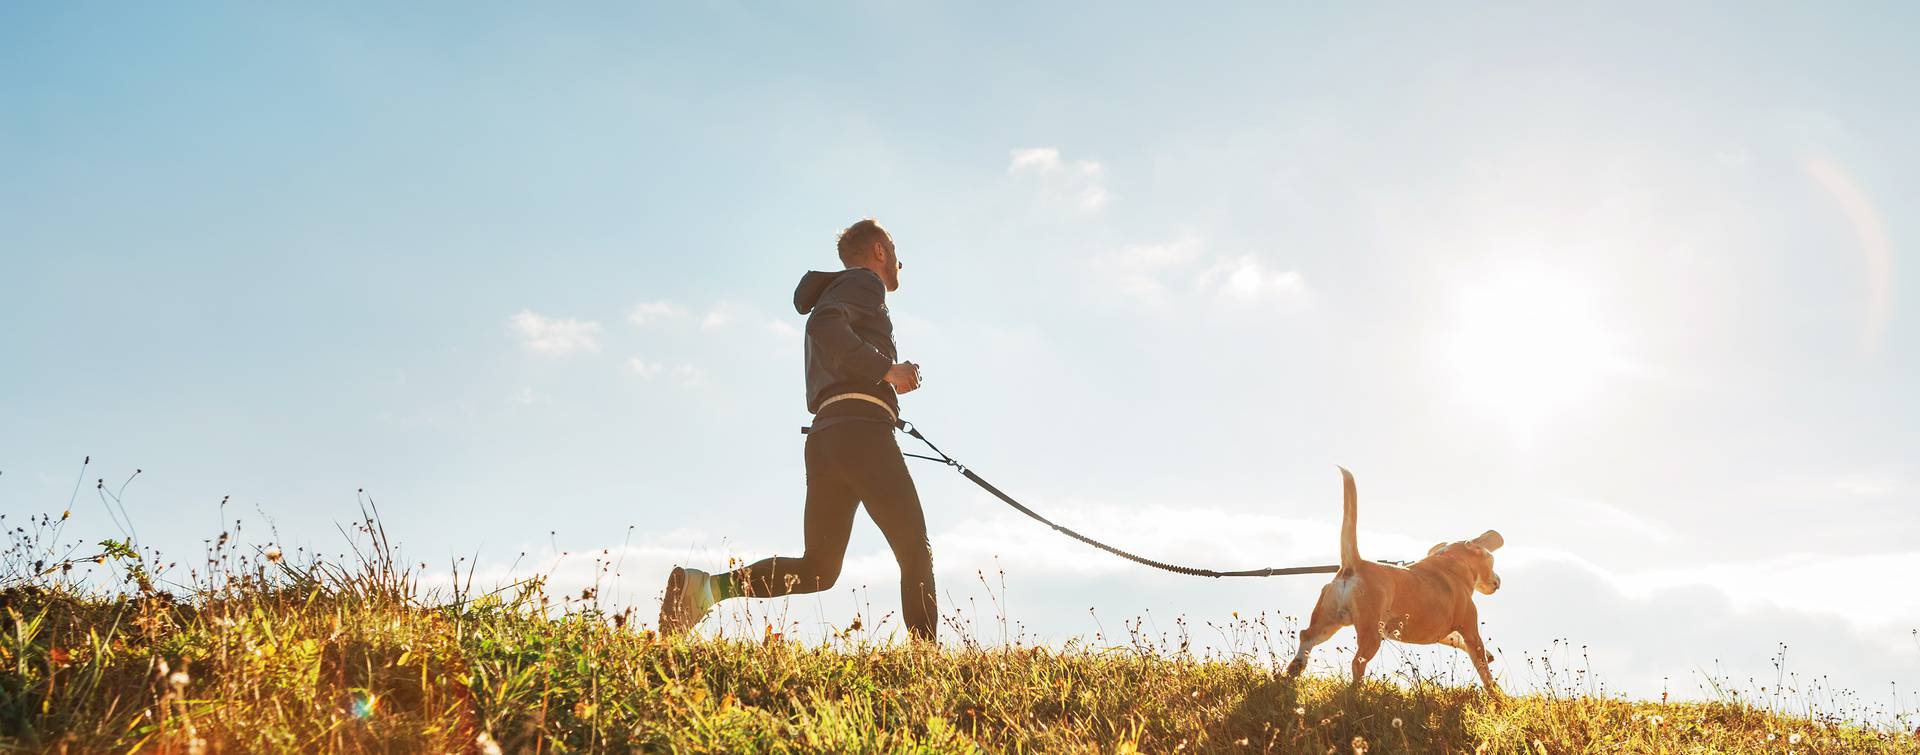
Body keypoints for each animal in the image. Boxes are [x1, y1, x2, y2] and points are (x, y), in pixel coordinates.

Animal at [1282, 466, 1505, 691]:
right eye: (1491, 559)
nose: (1498, 580)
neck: (1451, 562)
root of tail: (1355, 564)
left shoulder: (1445, 633)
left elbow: (1457, 641)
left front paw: (1490, 656)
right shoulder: (1470, 629)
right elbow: (1483, 668)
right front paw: (1496, 693)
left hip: (1328, 621)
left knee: (1306, 637)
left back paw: (1294, 670)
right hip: (1371, 632)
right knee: (1357, 662)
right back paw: (1357, 692)